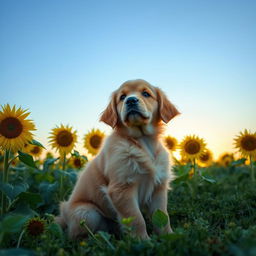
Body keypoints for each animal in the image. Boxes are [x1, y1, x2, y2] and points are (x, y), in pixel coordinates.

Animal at [55, 78, 180, 240]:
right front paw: (143, 241)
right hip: (87, 213)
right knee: (75, 235)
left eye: (146, 93)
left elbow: (163, 216)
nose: (131, 100)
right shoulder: (121, 188)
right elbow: (137, 219)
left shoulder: (159, 188)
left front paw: (168, 237)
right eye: (122, 97)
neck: (142, 142)